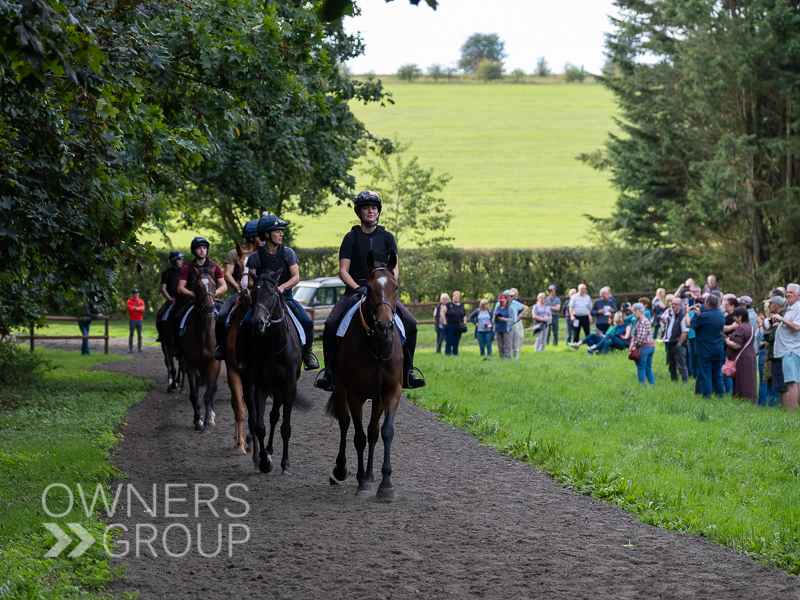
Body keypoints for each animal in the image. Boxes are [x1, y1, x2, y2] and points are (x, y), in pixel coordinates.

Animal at [241, 270, 310, 474]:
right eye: (253, 293)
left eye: (272, 293)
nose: (257, 322)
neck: (274, 343)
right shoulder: (261, 386)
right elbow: (260, 426)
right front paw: (265, 462)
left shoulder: (289, 387)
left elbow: (285, 427)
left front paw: (285, 463)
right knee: (263, 418)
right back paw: (264, 454)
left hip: (279, 390)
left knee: (275, 418)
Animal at [326, 251, 404, 500]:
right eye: (368, 288)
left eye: (395, 286)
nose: (384, 327)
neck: (377, 346)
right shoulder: (354, 394)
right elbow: (358, 437)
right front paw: (361, 483)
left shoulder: (391, 391)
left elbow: (385, 432)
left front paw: (385, 484)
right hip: (341, 390)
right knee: (345, 424)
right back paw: (342, 470)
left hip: (377, 398)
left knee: (372, 431)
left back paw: (370, 477)